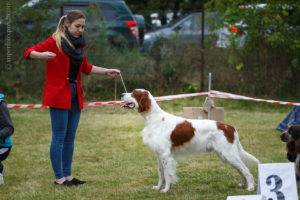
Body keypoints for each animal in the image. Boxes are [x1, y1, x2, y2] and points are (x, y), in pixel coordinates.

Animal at [120, 89, 258, 192]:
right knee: (241, 170)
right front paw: (158, 187)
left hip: (228, 154)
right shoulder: (159, 155)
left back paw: (250, 187)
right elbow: (161, 173)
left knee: (246, 170)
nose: (121, 94)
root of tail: (229, 127)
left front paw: (166, 190)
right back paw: (243, 184)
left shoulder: (165, 154)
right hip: (225, 155)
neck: (155, 118)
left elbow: (168, 174)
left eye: (134, 93)